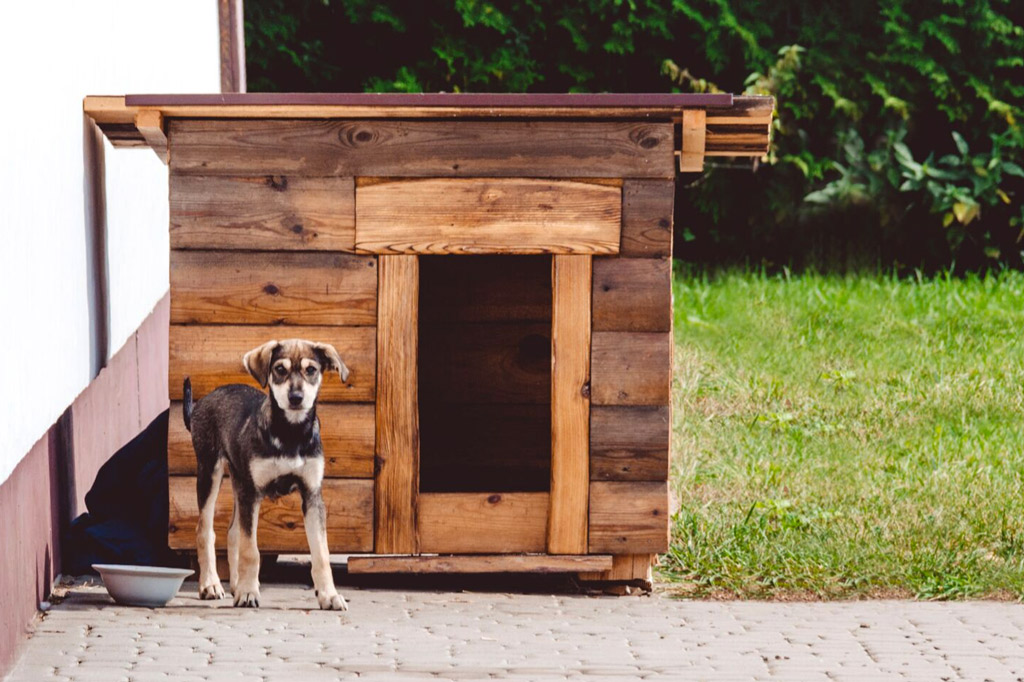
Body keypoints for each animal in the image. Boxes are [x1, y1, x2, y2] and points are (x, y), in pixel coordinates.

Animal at [186, 337, 354, 606]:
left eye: (311, 370)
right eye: (279, 369)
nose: (296, 398)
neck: (291, 433)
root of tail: (204, 400)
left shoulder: (312, 496)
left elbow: (321, 553)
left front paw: (329, 595)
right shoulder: (252, 494)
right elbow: (251, 550)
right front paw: (248, 592)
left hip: (238, 480)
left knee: (232, 532)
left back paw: (235, 584)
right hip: (209, 471)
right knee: (205, 530)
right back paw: (211, 585)